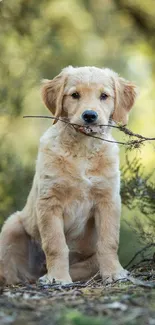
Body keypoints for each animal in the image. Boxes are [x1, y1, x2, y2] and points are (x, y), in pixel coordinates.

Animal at [0, 66, 137, 284]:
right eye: (75, 95)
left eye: (104, 96)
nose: (89, 115)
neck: (83, 149)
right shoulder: (49, 201)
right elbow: (55, 244)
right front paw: (57, 277)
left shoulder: (108, 200)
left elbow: (109, 241)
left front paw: (114, 272)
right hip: (12, 226)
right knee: (11, 273)